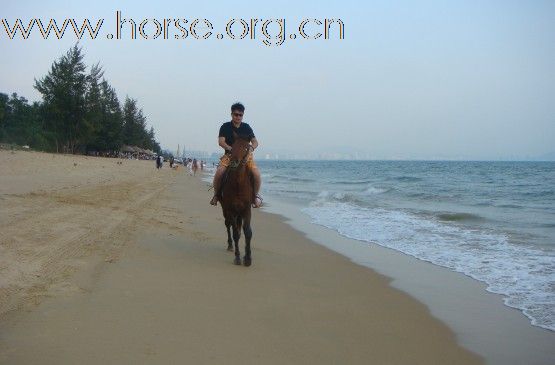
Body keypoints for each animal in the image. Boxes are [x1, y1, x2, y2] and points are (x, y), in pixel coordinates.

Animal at [220, 132, 258, 266]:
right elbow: (235, 233)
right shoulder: (230, 209)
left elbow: (248, 232)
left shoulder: (246, 209)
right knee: (228, 225)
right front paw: (237, 257)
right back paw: (230, 245)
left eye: (246, 148)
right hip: (225, 210)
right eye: (233, 147)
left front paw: (248, 258)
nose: (234, 162)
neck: (238, 184)